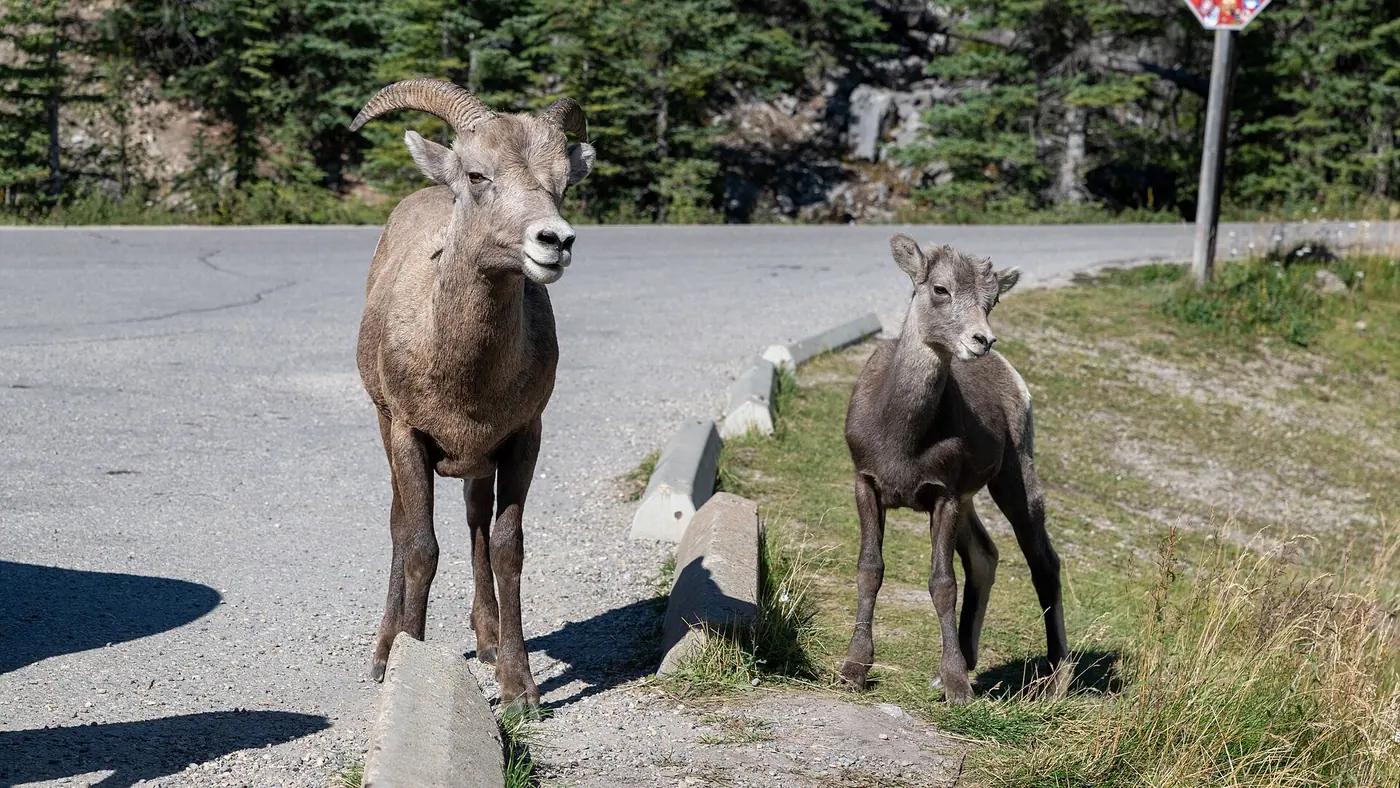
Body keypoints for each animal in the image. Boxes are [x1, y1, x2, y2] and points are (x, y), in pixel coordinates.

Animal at [349, 79, 595, 709]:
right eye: (478, 175)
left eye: (562, 183)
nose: (555, 241)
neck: (464, 377)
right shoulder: (409, 436)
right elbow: (419, 546)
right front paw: (406, 665)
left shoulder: (522, 439)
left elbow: (507, 548)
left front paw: (519, 689)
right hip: (389, 435)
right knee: (400, 525)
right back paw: (382, 652)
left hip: (477, 466)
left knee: (476, 528)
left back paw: (484, 641)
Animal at [839, 235, 1068, 704]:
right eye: (940, 289)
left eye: (992, 300)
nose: (982, 340)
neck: (903, 438)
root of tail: (1015, 380)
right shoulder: (867, 483)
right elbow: (870, 570)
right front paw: (853, 670)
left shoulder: (941, 494)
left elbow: (942, 583)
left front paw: (958, 687)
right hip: (968, 499)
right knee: (985, 555)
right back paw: (961, 663)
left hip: (1014, 476)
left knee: (1044, 561)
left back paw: (1056, 678)